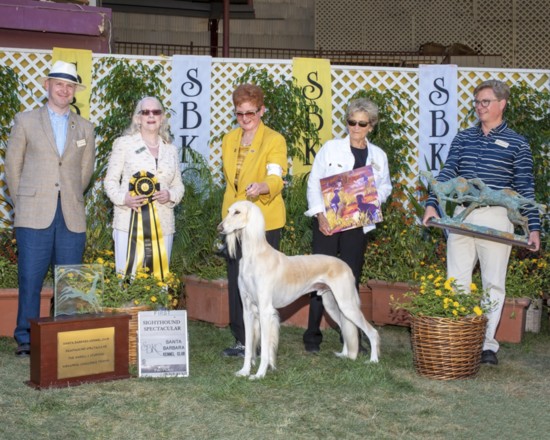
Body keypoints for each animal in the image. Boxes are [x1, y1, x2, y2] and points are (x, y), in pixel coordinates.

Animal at [218, 201, 382, 380]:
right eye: (228, 211)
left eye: (237, 212)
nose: (220, 228)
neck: (254, 256)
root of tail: (345, 265)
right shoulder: (247, 310)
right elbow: (248, 347)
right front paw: (244, 371)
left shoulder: (265, 310)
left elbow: (266, 349)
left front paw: (260, 374)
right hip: (332, 305)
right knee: (345, 328)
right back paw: (345, 354)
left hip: (347, 305)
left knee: (372, 332)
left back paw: (373, 360)